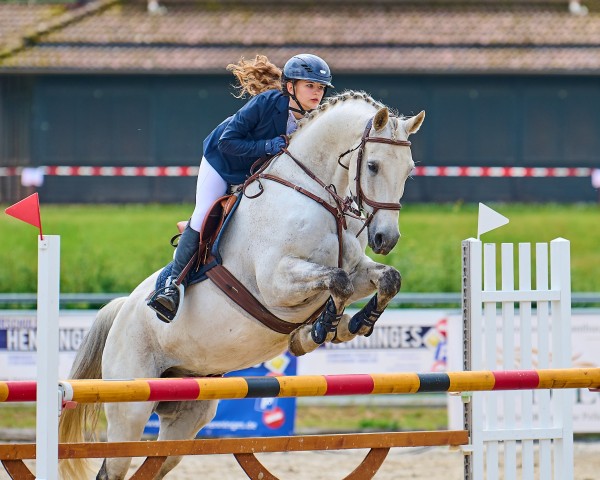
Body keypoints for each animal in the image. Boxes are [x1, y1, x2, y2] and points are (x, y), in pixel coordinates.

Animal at [59, 91, 422, 480]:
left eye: (409, 170)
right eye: (373, 166)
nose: (386, 238)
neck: (315, 195)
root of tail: (122, 310)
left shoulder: (355, 269)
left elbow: (386, 279)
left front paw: (353, 324)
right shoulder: (277, 281)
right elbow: (336, 283)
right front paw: (321, 329)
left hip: (189, 413)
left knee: (158, 462)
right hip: (130, 405)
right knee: (113, 465)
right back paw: (165, 299)